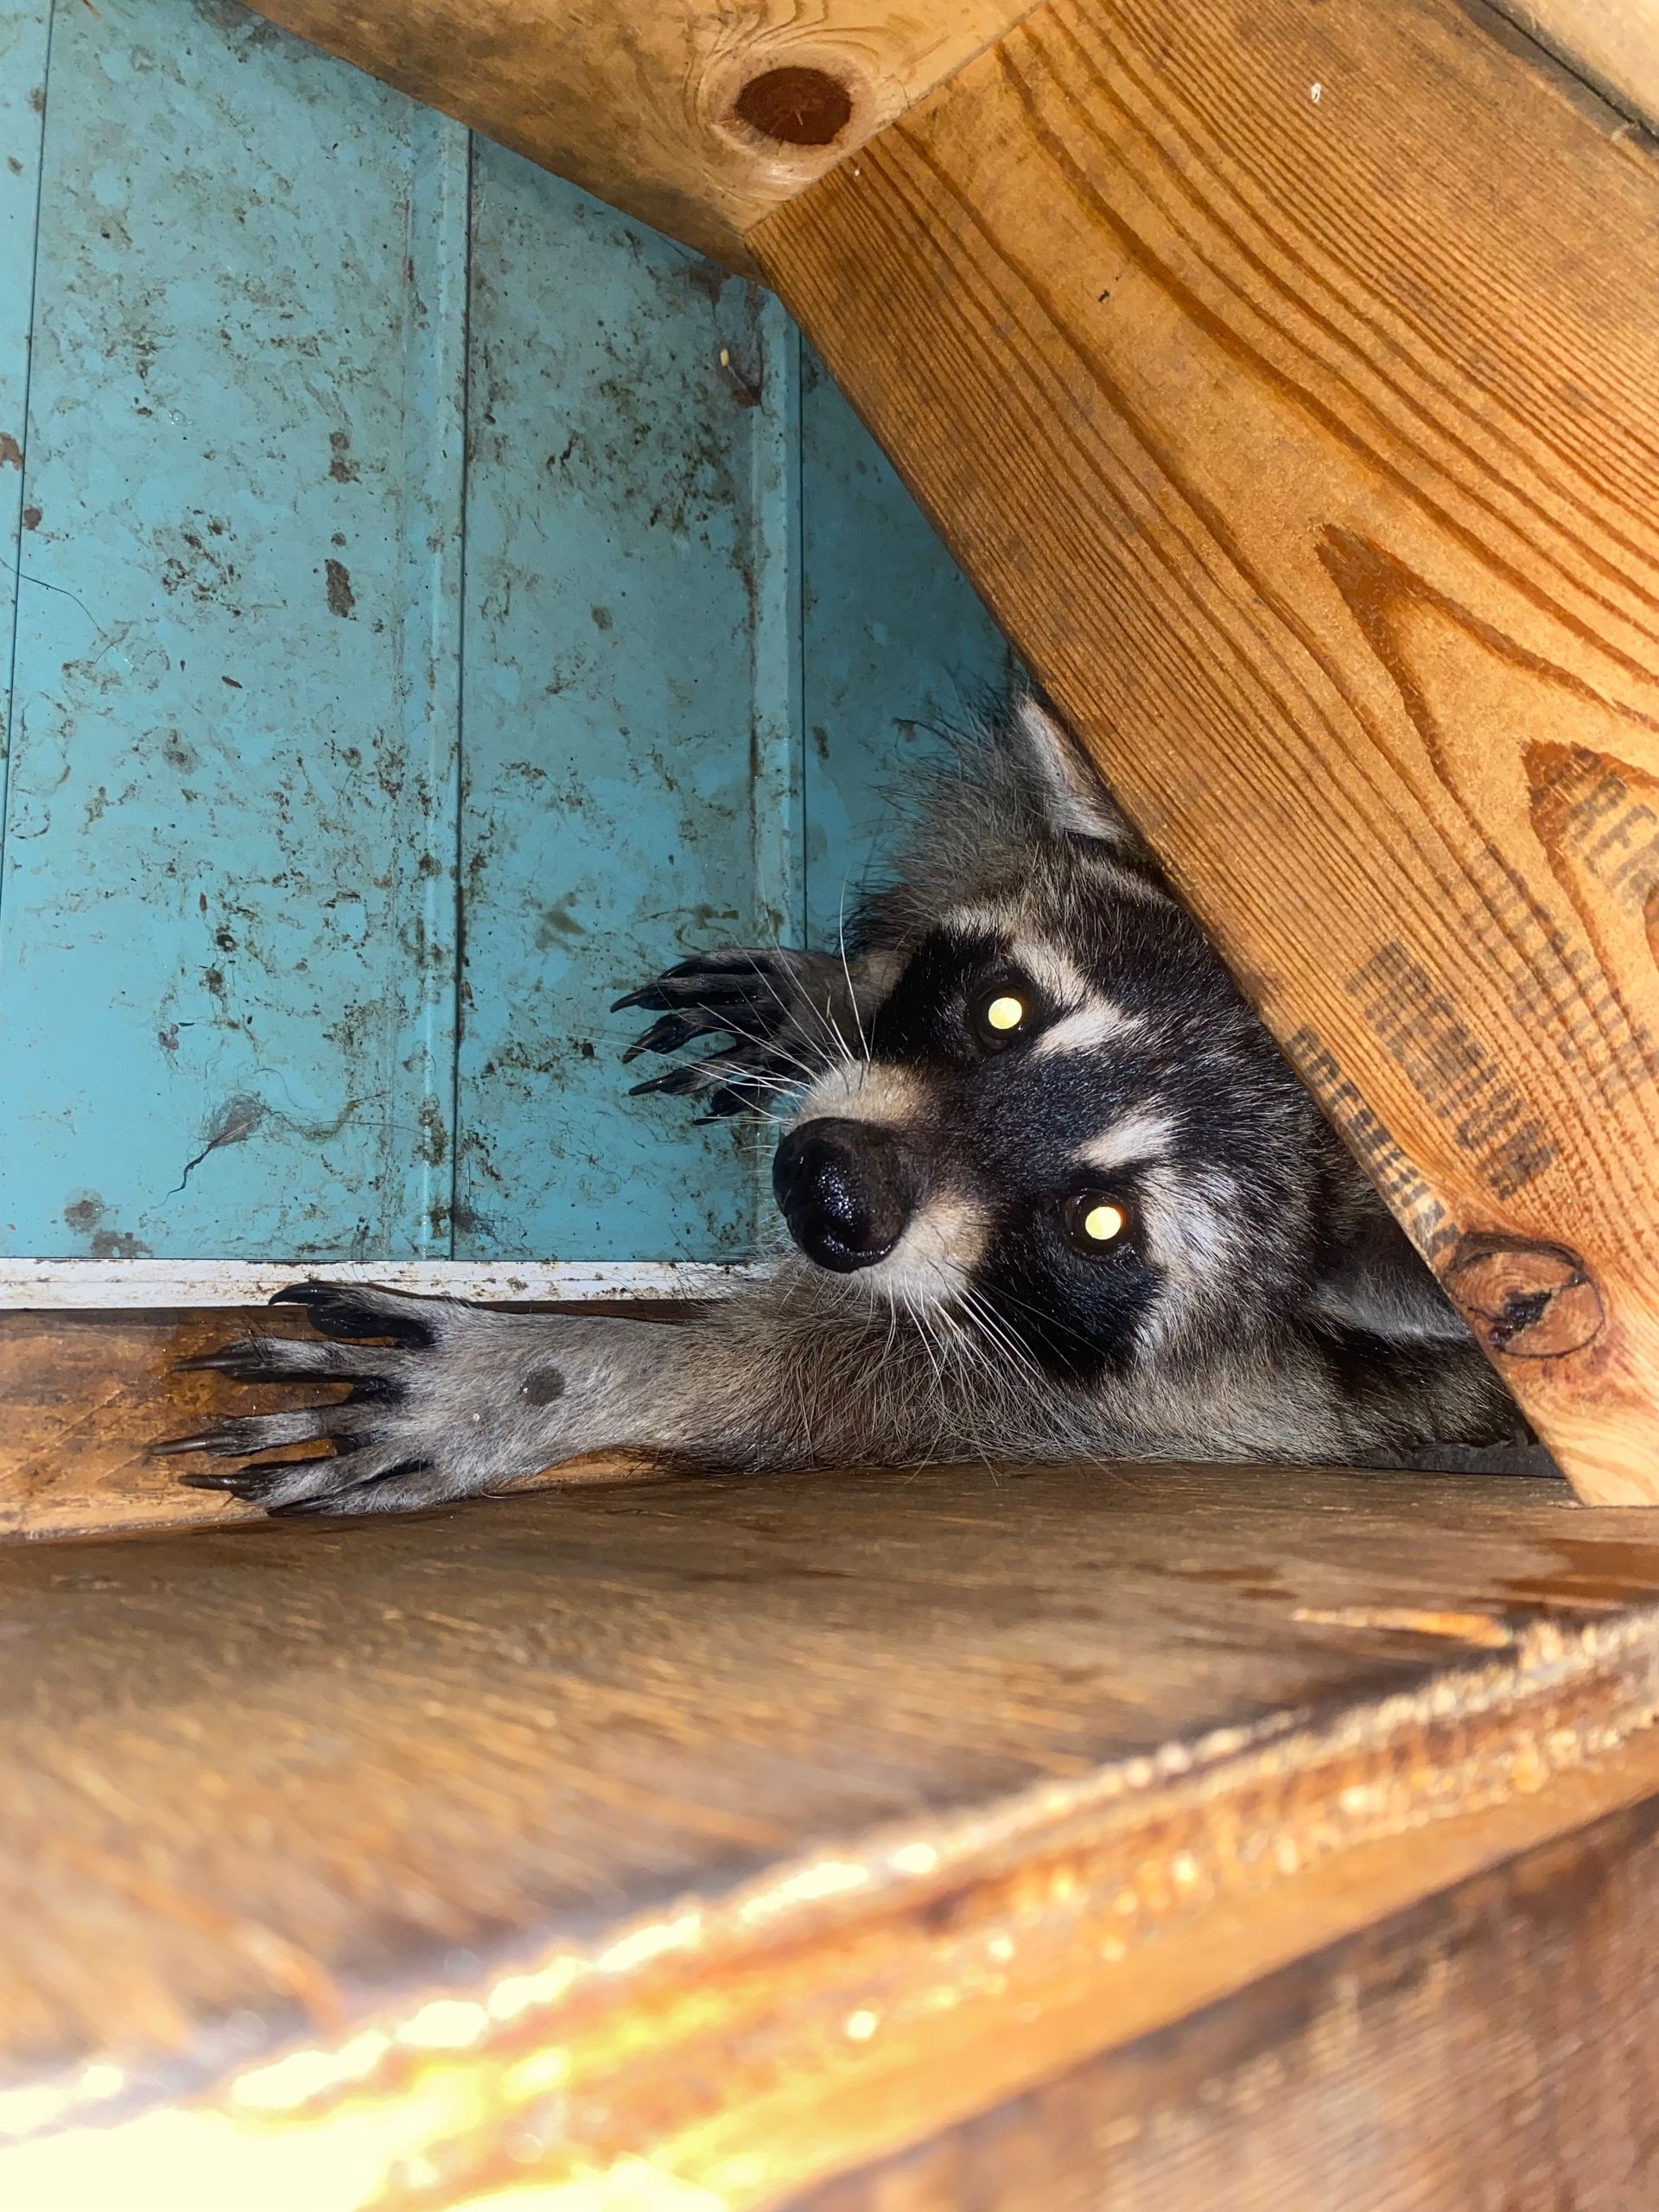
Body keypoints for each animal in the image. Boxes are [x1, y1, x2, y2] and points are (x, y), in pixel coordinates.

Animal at [162, 693, 1531, 1515]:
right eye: (1002, 1012)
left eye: (1101, 1226)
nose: (830, 1191)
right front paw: (843, 986)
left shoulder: (1254, 1402)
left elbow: (873, 1389)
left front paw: (579, 1369)